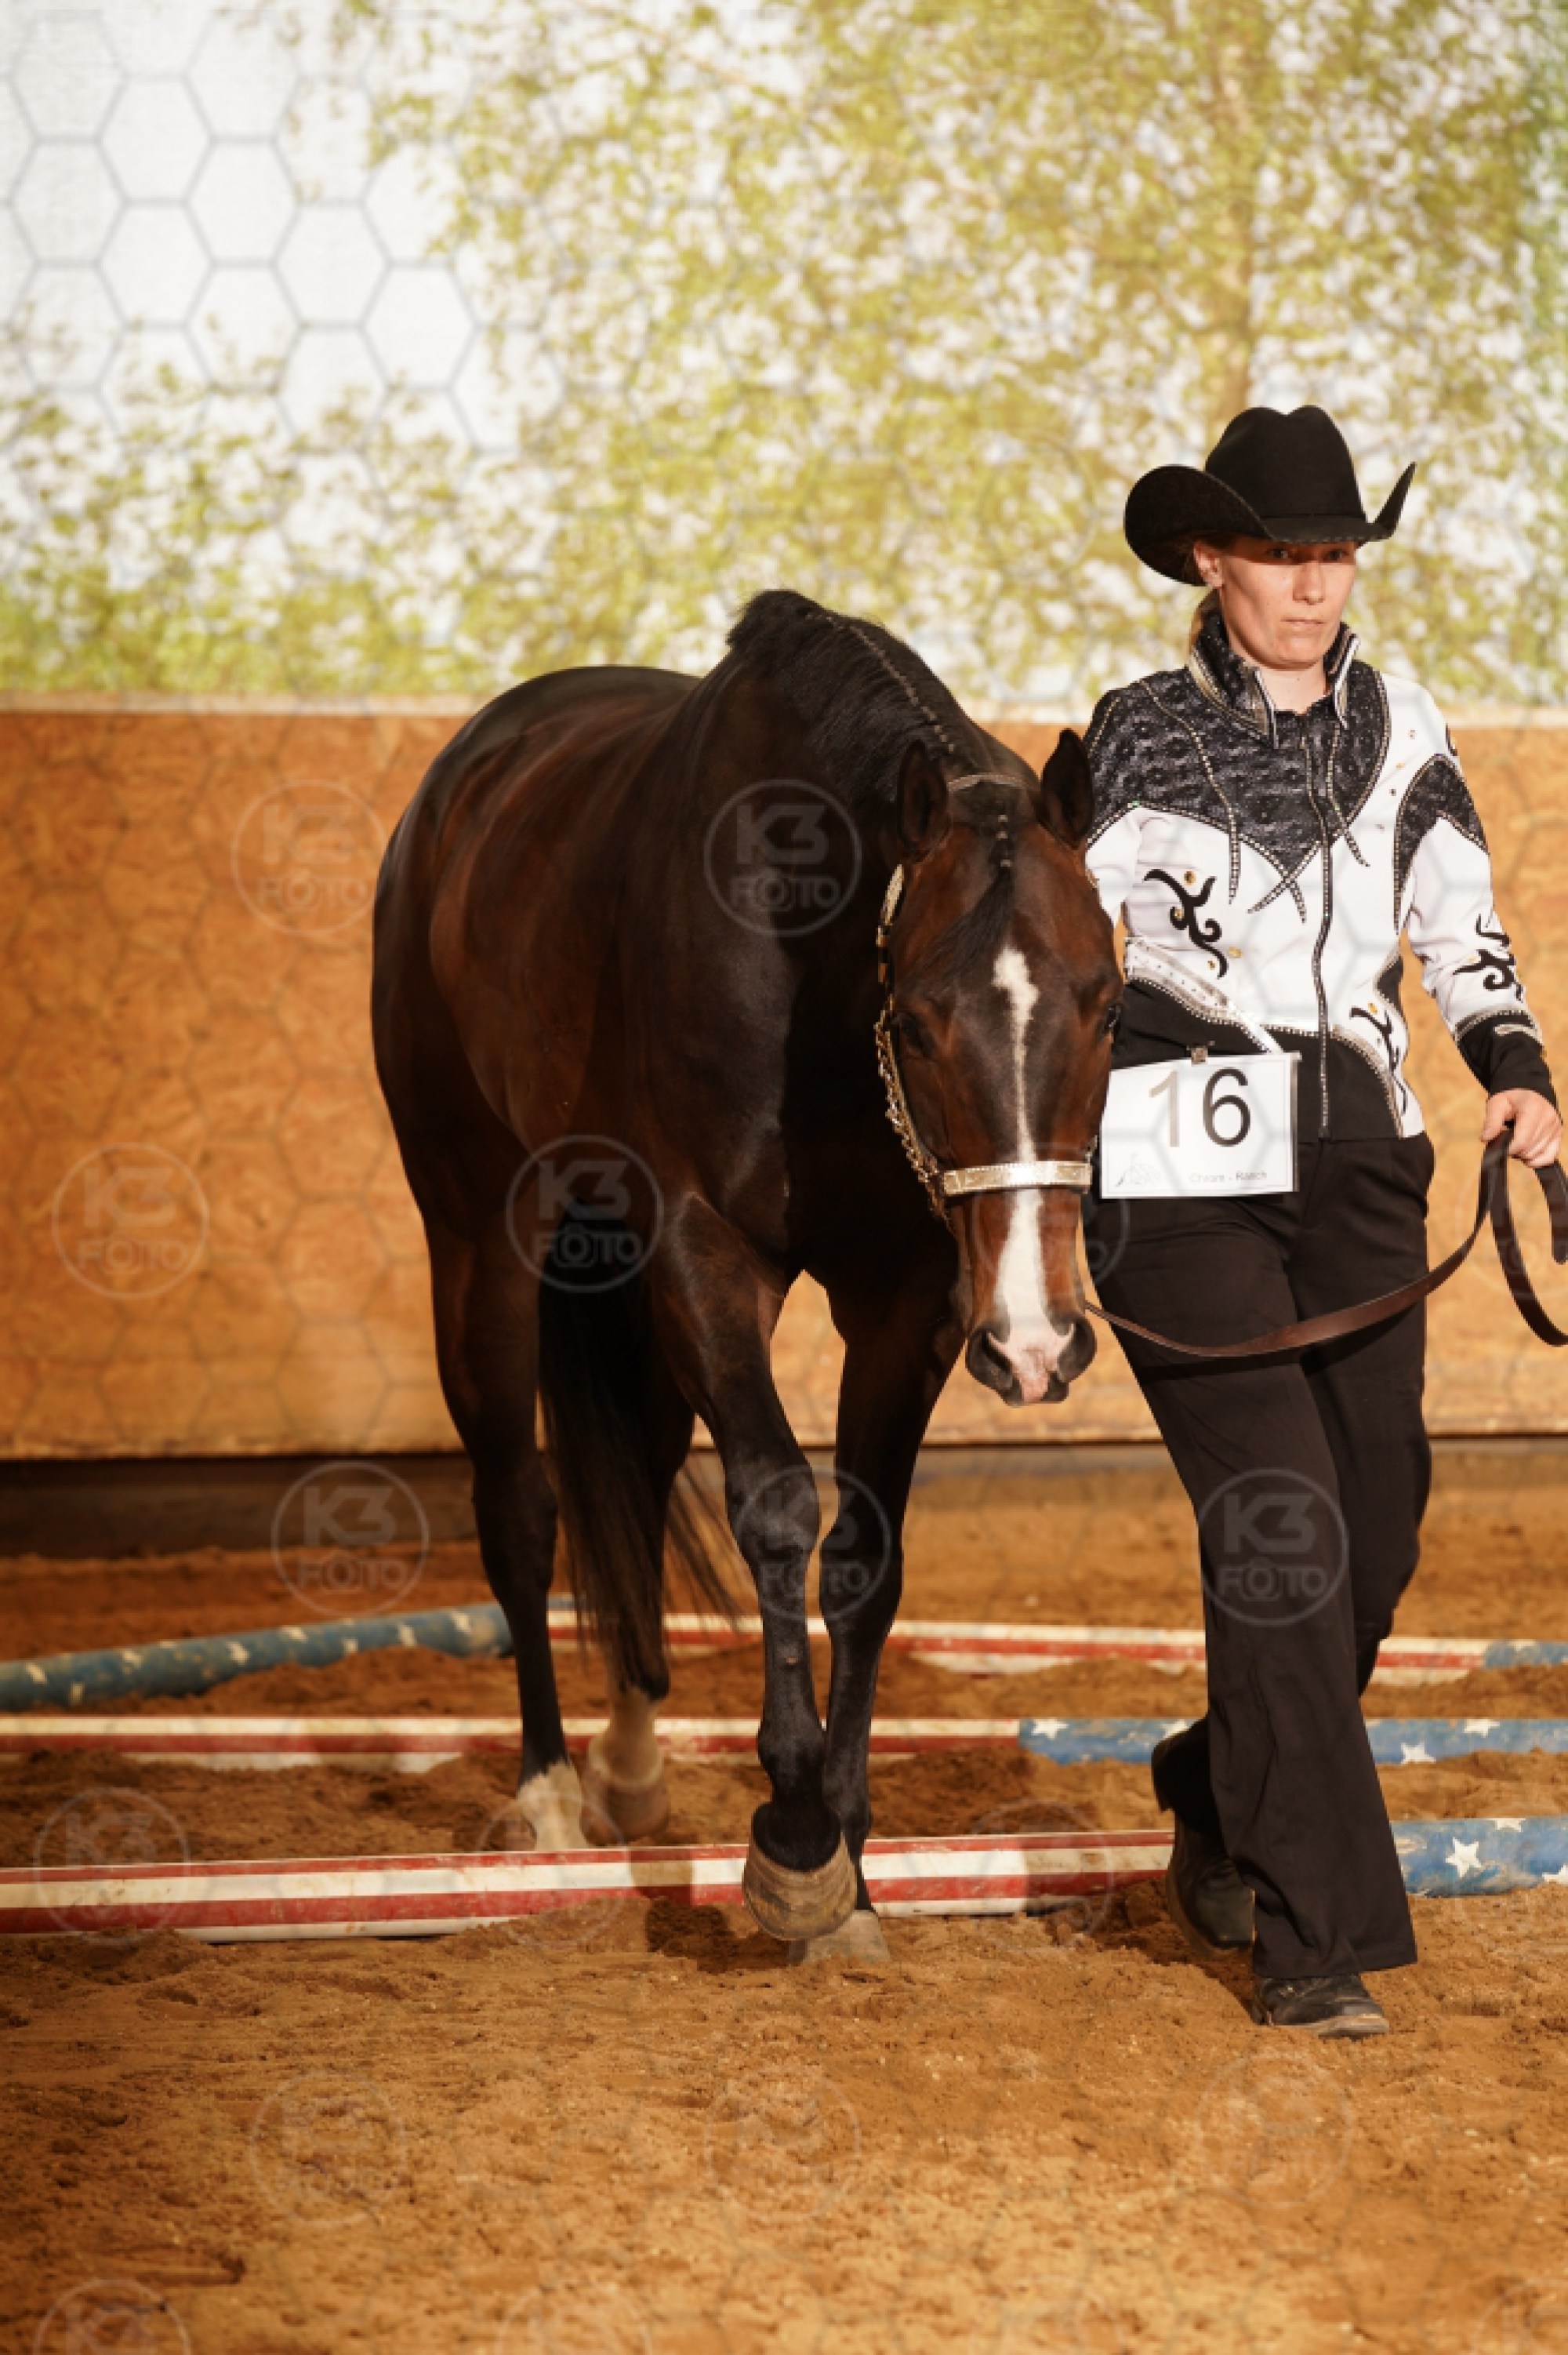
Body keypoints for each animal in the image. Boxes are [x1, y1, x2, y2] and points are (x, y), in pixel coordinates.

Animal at [371, 589, 1119, 1953]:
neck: (810, 966)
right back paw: (547, 1795)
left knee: (636, 1473)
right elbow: (775, 1504)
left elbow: (865, 1558)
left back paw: (628, 1765)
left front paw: (855, 1867)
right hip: (479, 1235)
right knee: (521, 1503)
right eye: (918, 1017)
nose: (1038, 1343)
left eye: (1106, 1002)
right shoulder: (706, 1254)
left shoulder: (910, 1302)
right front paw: (796, 1838)